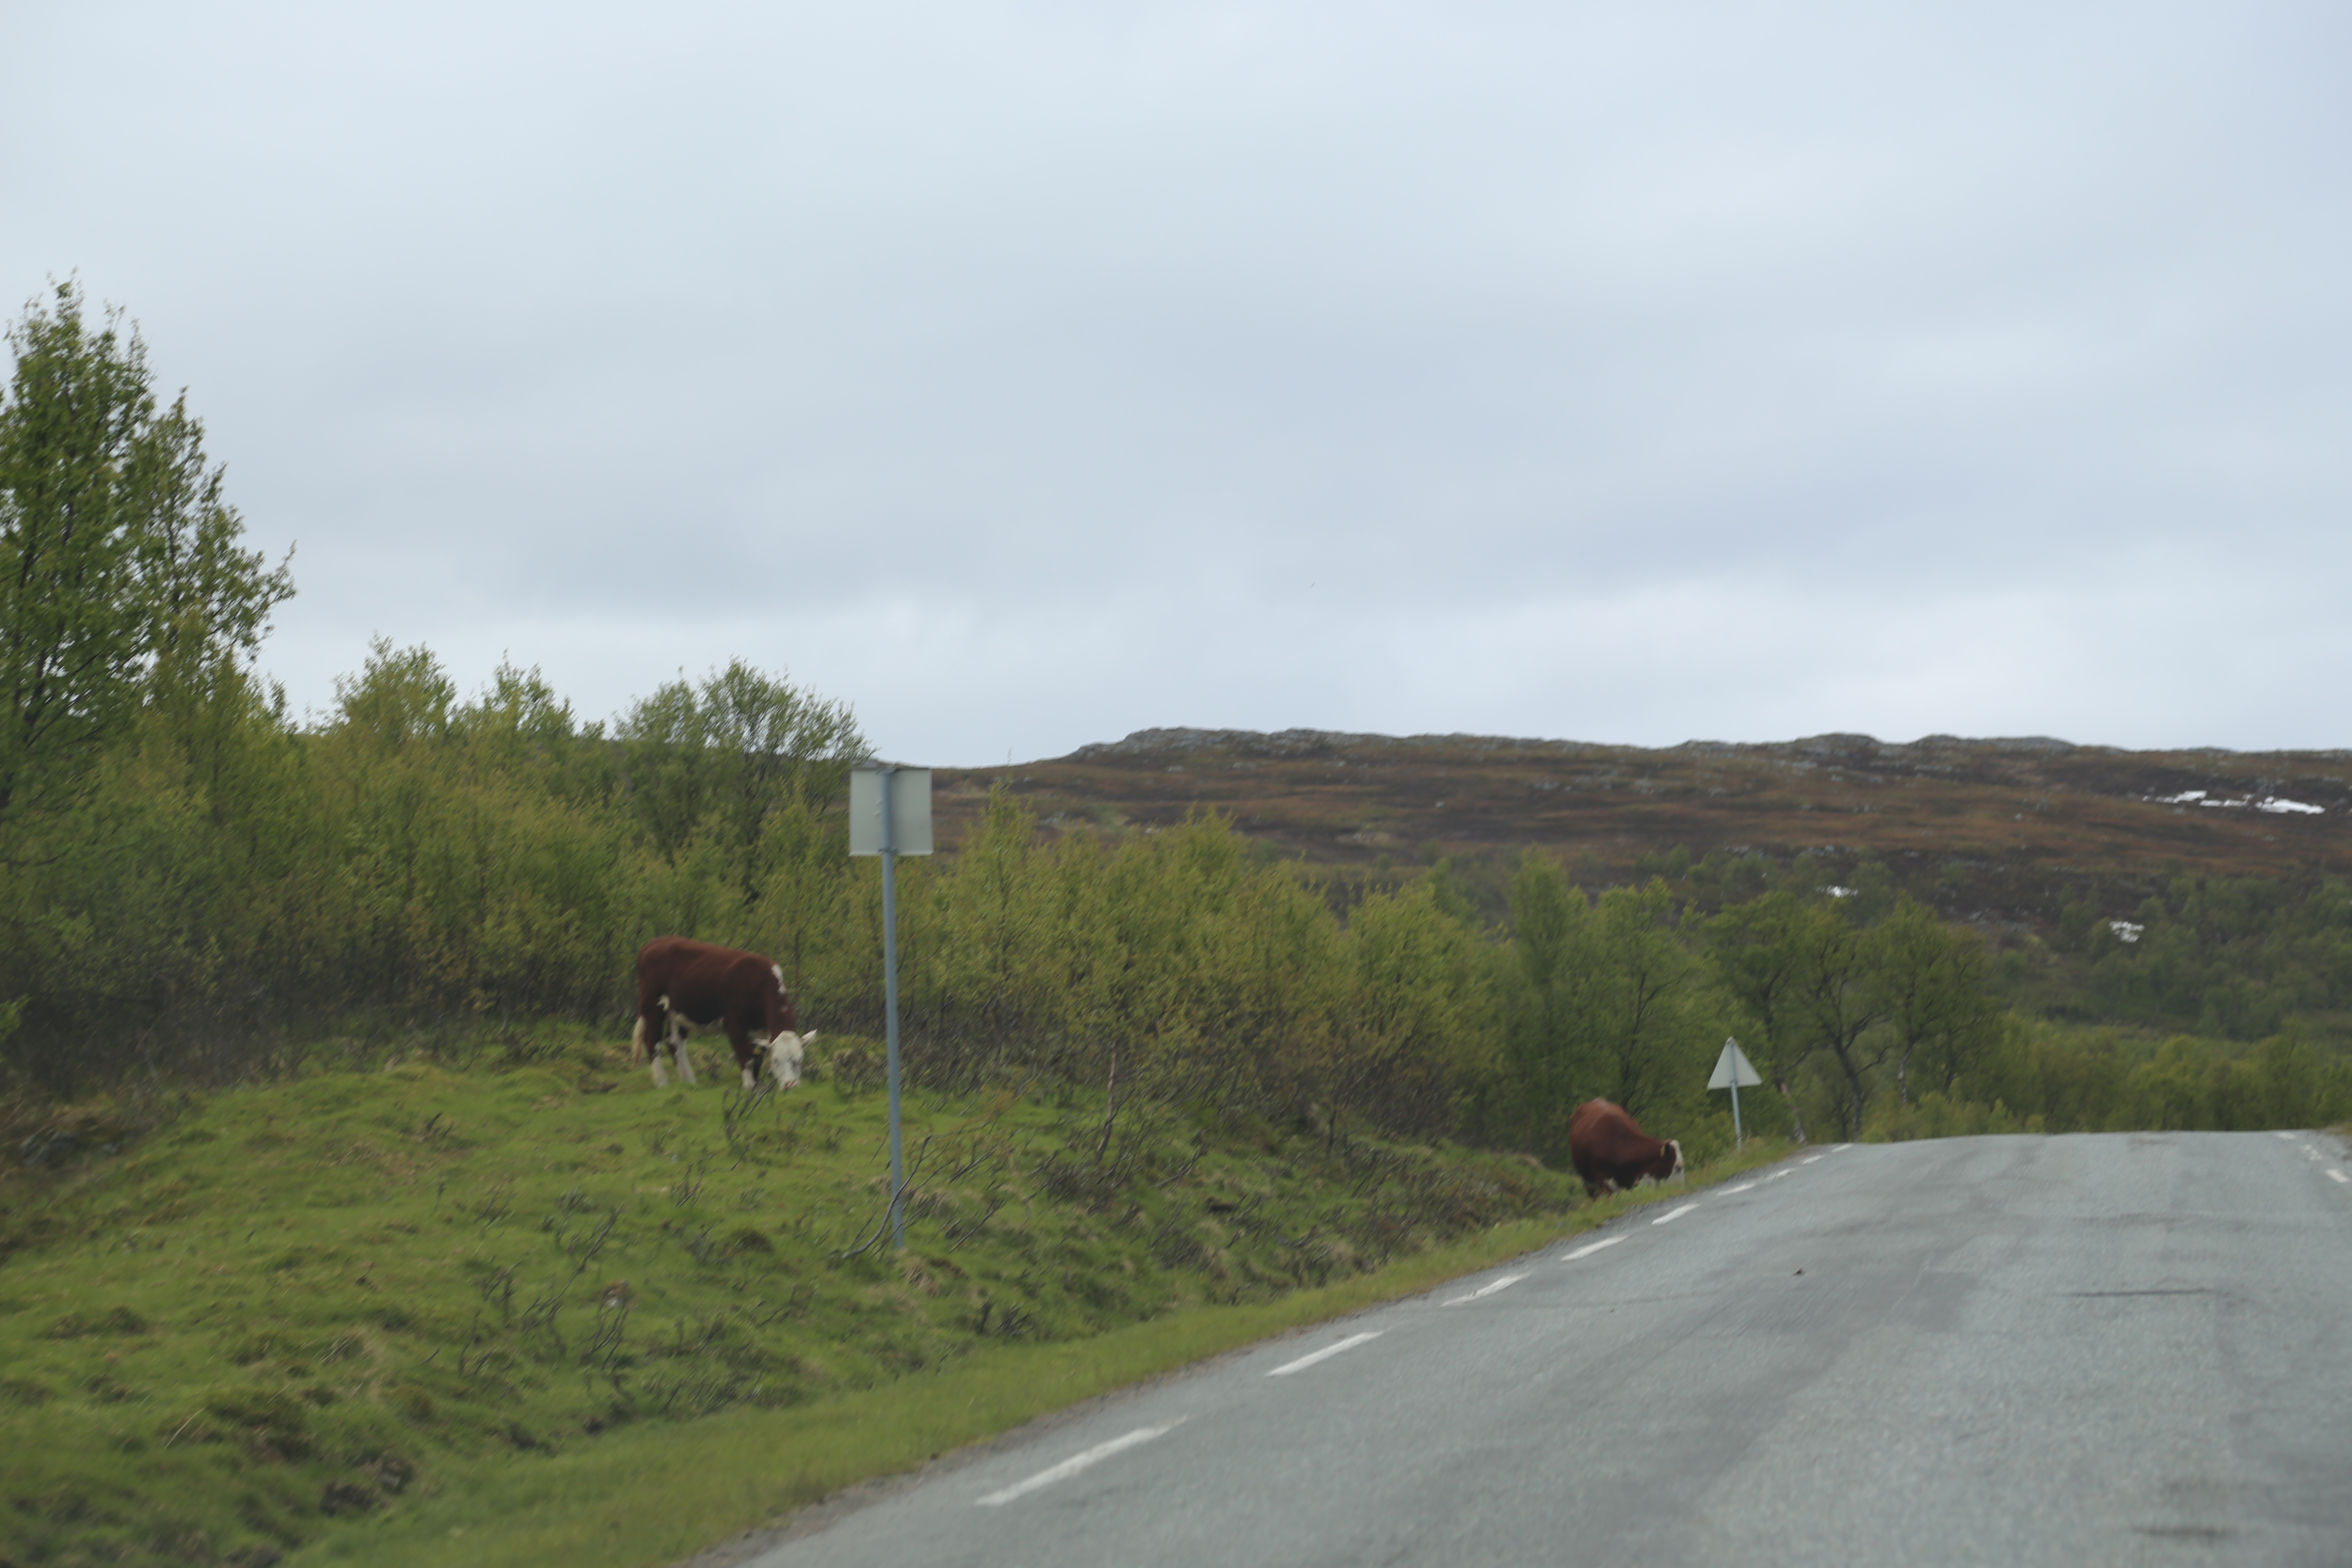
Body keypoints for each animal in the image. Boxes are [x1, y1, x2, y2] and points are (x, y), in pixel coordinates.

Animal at [625, 945, 818, 1090]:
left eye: (800, 1059)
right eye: (776, 1060)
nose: (791, 1085)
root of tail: (654, 944)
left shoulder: (759, 1031)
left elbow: (757, 1058)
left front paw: (757, 1085)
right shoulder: (735, 1025)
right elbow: (747, 1058)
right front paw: (749, 1086)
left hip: (676, 1012)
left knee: (675, 1043)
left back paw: (689, 1081)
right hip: (652, 1006)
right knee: (653, 1041)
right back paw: (662, 1082)